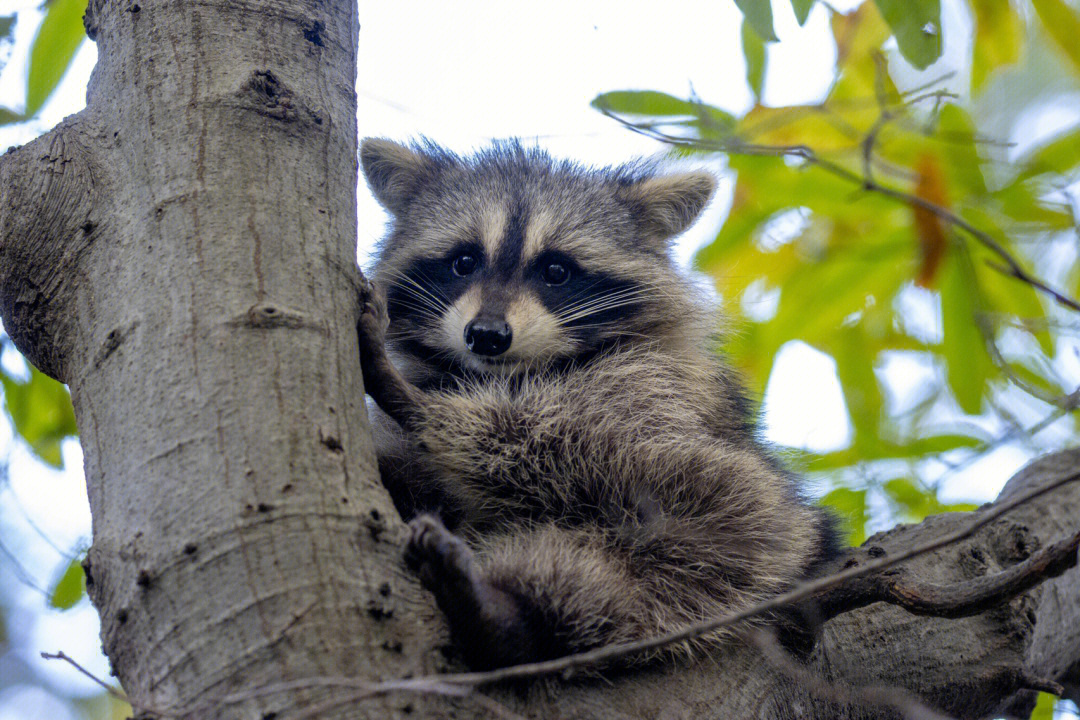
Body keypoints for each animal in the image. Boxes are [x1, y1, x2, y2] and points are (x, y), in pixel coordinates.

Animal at [356, 136, 833, 669]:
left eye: (556, 271)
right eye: (464, 262)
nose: (487, 335)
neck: (501, 375)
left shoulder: (659, 384)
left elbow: (559, 443)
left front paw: (419, 404)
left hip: (753, 518)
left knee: (714, 532)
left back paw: (513, 618)